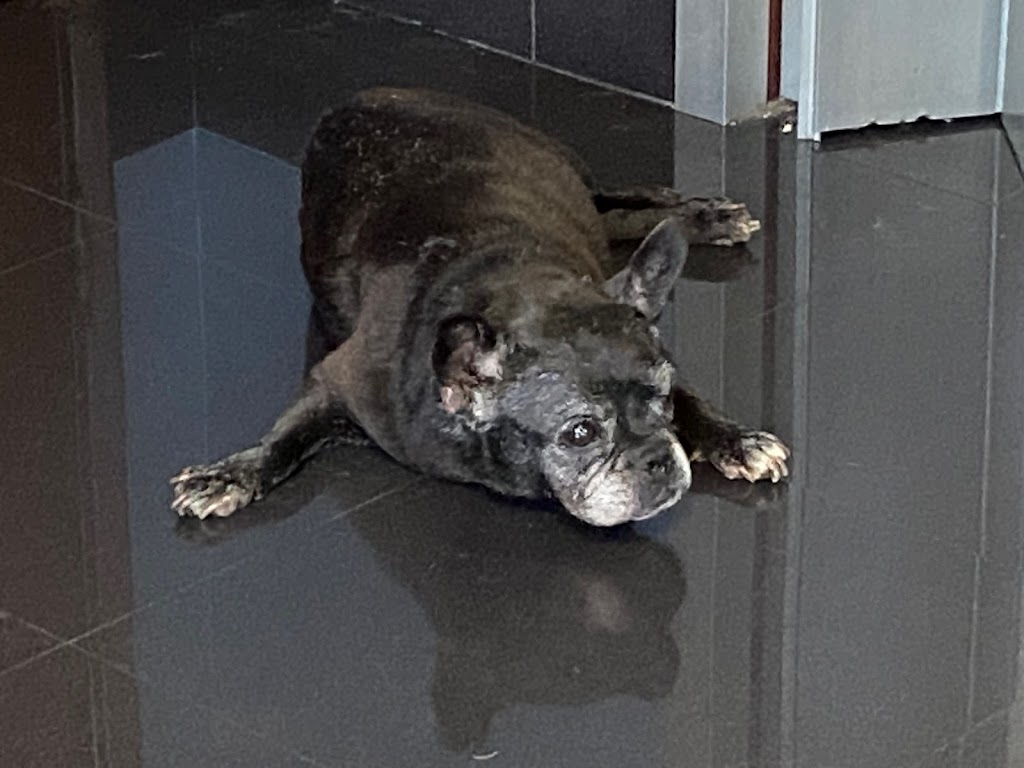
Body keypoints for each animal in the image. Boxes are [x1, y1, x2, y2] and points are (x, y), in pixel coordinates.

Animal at [171, 88, 789, 527]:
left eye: (662, 395)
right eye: (580, 434)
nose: (660, 457)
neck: (521, 280)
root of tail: (366, 97)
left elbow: (696, 401)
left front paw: (733, 437)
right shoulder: (338, 379)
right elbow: (285, 434)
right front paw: (233, 473)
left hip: (561, 164)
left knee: (626, 200)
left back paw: (708, 216)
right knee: (617, 211)